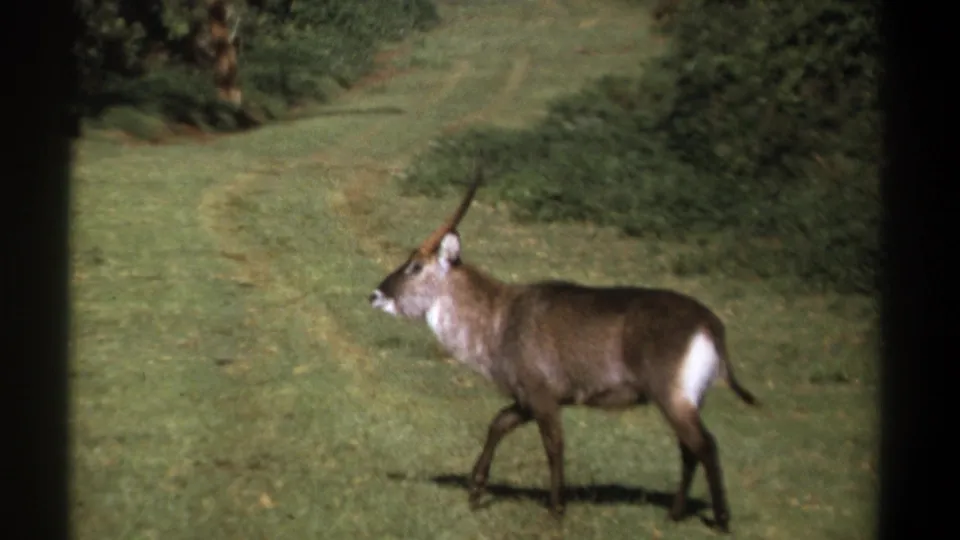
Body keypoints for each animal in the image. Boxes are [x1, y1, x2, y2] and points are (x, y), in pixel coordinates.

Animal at [368, 165, 759, 533]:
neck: (499, 317)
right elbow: (498, 423)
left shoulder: (542, 396)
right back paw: (675, 515)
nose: (375, 295)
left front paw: (556, 509)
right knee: (689, 449)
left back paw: (721, 520)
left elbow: (553, 445)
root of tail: (709, 322)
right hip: (684, 400)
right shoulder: (529, 398)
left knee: (705, 445)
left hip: (672, 396)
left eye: (415, 266)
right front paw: (476, 491)